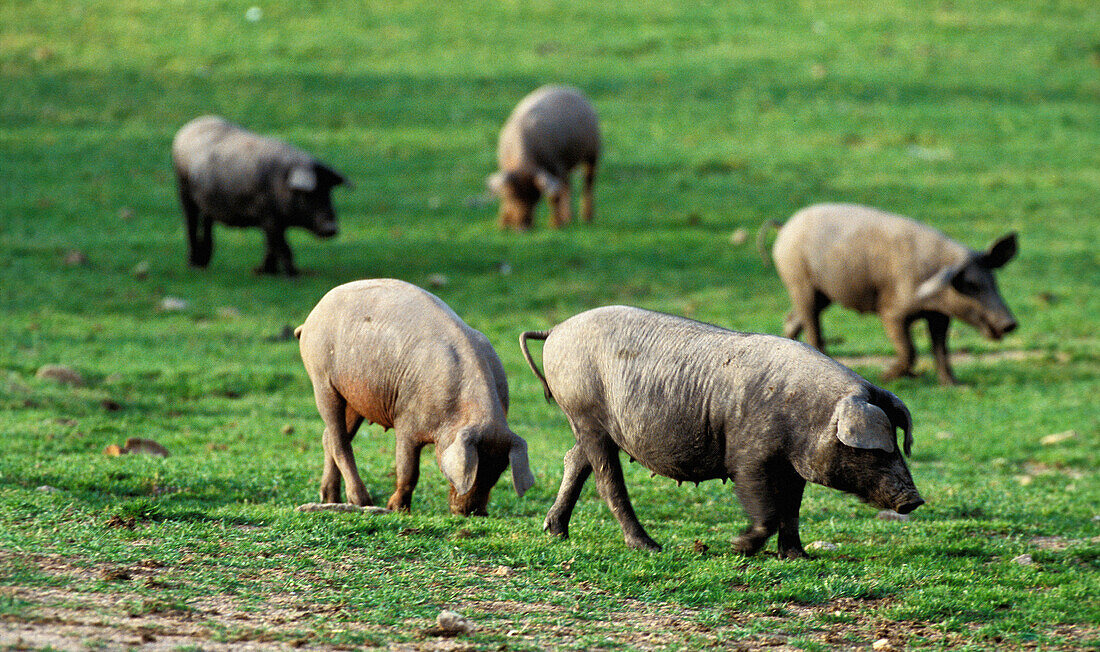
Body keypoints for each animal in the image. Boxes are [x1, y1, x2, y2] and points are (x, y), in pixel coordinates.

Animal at [171, 115, 347, 275]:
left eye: (328, 192)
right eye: (309, 195)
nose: (331, 227)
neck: (280, 182)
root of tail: (187, 128)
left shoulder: (271, 220)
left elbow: (270, 245)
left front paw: (265, 271)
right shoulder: (268, 215)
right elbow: (282, 245)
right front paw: (293, 275)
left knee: (207, 223)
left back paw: (204, 264)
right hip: (183, 188)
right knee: (190, 223)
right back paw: (192, 266)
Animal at [292, 277, 532, 516]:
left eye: (498, 471)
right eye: (473, 469)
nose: (475, 512)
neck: (457, 407)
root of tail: (312, 316)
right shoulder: (406, 420)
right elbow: (408, 471)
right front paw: (398, 509)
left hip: (354, 397)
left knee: (329, 437)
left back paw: (331, 499)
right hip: (321, 378)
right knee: (339, 440)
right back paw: (363, 501)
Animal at [488, 85, 602, 229]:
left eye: (535, 197)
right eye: (512, 196)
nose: (522, 228)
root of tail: (569, 88)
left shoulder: (556, 166)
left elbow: (554, 197)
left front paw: (555, 224)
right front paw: (502, 224)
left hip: (592, 153)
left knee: (588, 183)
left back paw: (586, 217)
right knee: (568, 186)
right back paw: (568, 218)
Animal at [519, 305, 924, 554]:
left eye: (897, 445)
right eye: (874, 450)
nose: (914, 500)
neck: (809, 413)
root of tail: (556, 329)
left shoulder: (792, 467)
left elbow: (791, 508)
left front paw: (797, 556)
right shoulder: (747, 456)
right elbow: (767, 509)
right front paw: (736, 547)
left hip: (585, 422)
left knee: (575, 461)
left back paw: (556, 532)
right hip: (586, 413)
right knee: (607, 480)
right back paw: (650, 546)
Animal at [761, 203, 1016, 384]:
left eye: (993, 280)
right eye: (971, 285)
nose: (1010, 323)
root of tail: (784, 227)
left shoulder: (940, 315)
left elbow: (941, 349)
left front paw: (954, 385)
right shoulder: (892, 311)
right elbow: (910, 350)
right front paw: (885, 377)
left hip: (824, 293)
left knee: (793, 318)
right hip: (799, 279)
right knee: (811, 323)